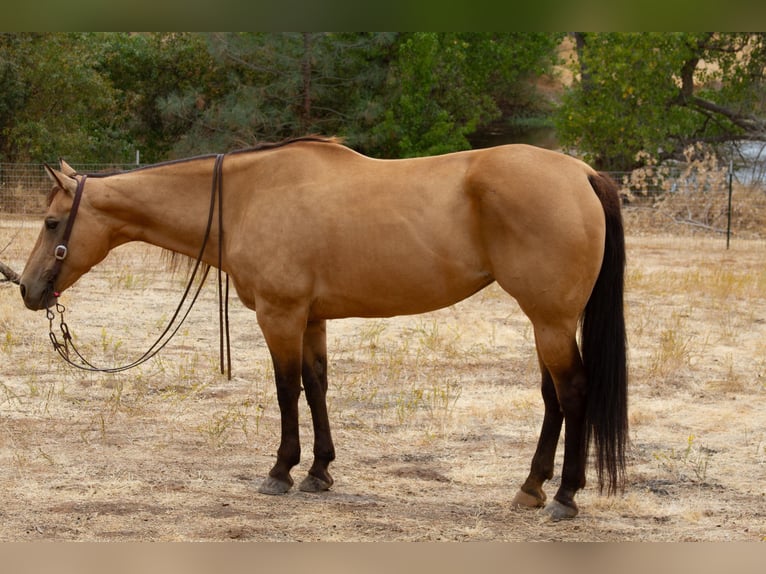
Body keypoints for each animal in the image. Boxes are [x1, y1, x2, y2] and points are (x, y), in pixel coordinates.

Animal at [19, 136, 632, 520]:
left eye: (51, 222)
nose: (25, 288)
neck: (248, 197)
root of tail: (581, 173)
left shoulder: (280, 314)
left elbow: (286, 390)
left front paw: (281, 470)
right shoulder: (311, 319)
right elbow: (317, 387)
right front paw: (319, 471)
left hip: (550, 320)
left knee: (573, 393)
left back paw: (565, 496)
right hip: (546, 322)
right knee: (553, 398)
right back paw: (532, 488)